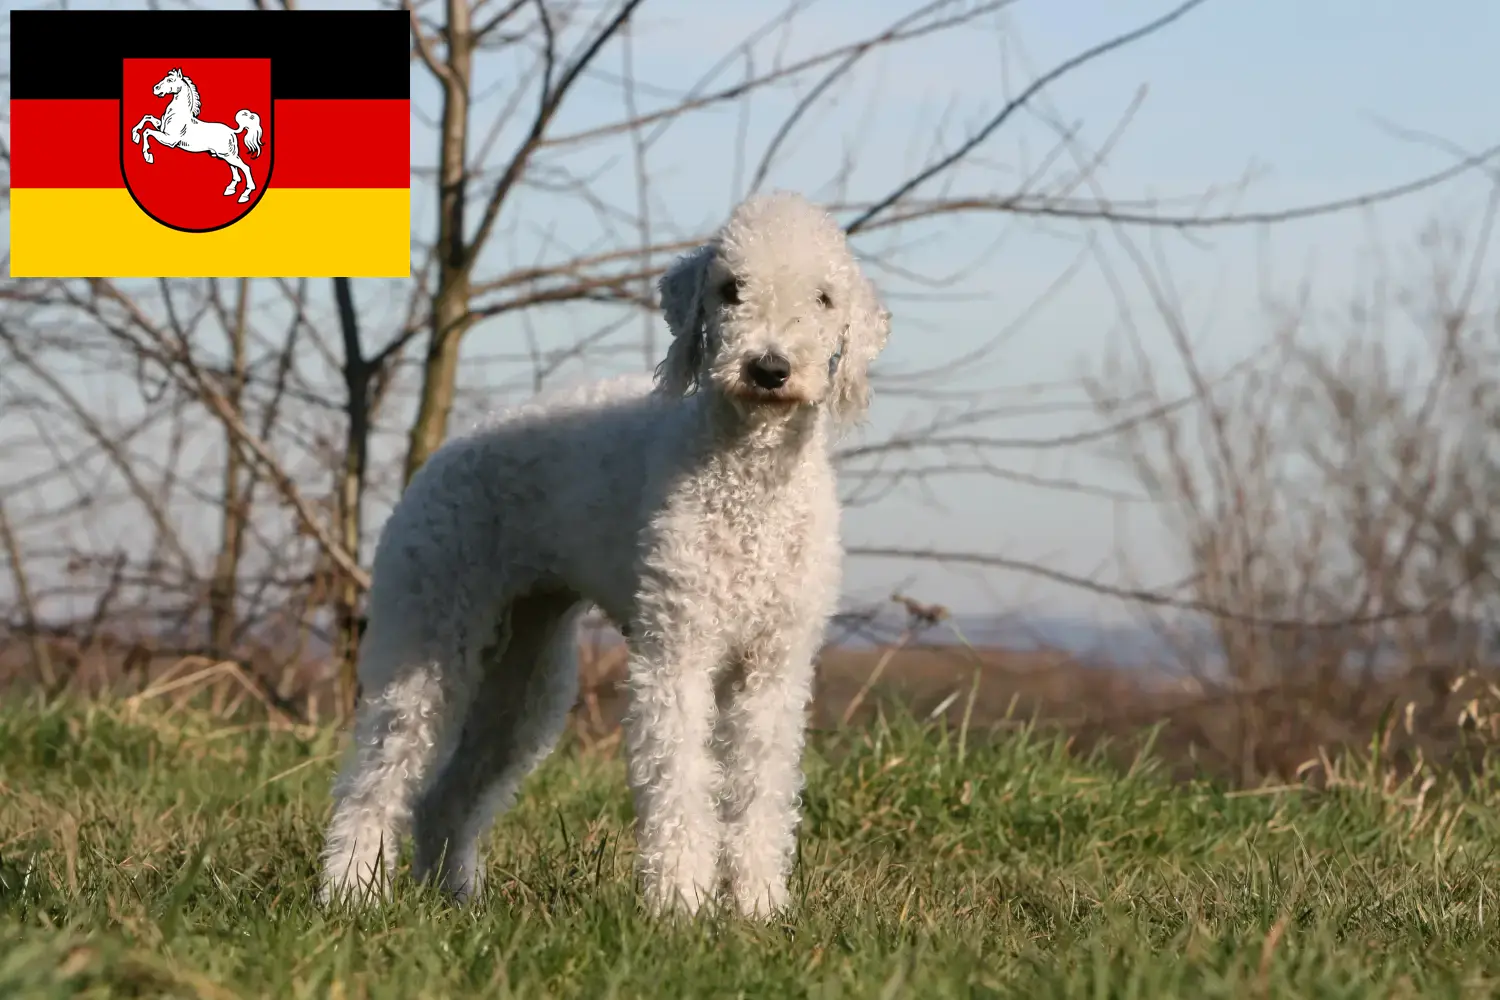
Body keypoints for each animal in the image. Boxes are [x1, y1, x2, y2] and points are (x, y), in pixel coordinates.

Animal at [131, 68, 264, 205]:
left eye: (170, 80)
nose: (155, 88)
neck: (177, 114)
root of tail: (232, 131)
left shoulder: (170, 140)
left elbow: (147, 132)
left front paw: (148, 156)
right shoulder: (161, 128)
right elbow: (147, 117)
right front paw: (135, 135)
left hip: (228, 155)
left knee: (245, 168)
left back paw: (244, 195)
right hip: (227, 155)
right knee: (236, 172)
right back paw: (230, 190)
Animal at [313, 191, 876, 917]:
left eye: (825, 298)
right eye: (731, 289)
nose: (769, 369)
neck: (749, 479)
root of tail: (441, 458)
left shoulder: (774, 668)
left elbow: (761, 795)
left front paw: (758, 908)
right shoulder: (676, 653)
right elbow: (679, 782)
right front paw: (681, 906)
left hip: (525, 674)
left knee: (446, 797)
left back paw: (458, 901)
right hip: (429, 632)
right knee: (377, 778)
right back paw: (350, 892)